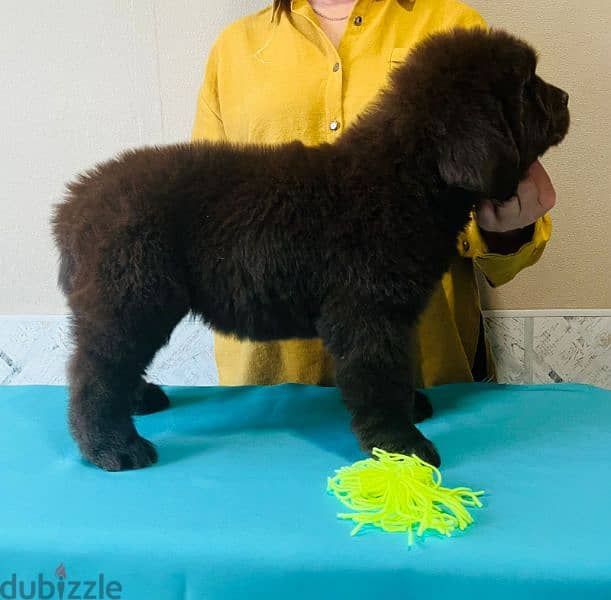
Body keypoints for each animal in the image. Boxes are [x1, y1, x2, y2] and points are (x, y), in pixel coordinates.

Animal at [51, 28, 568, 472]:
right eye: (527, 87)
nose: (564, 98)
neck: (406, 177)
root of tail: (75, 201)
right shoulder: (366, 312)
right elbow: (380, 378)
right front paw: (401, 446)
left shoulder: (393, 311)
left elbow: (401, 370)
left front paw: (412, 409)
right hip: (132, 297)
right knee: (95, 372)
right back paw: (114, 446)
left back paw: (137, 402)